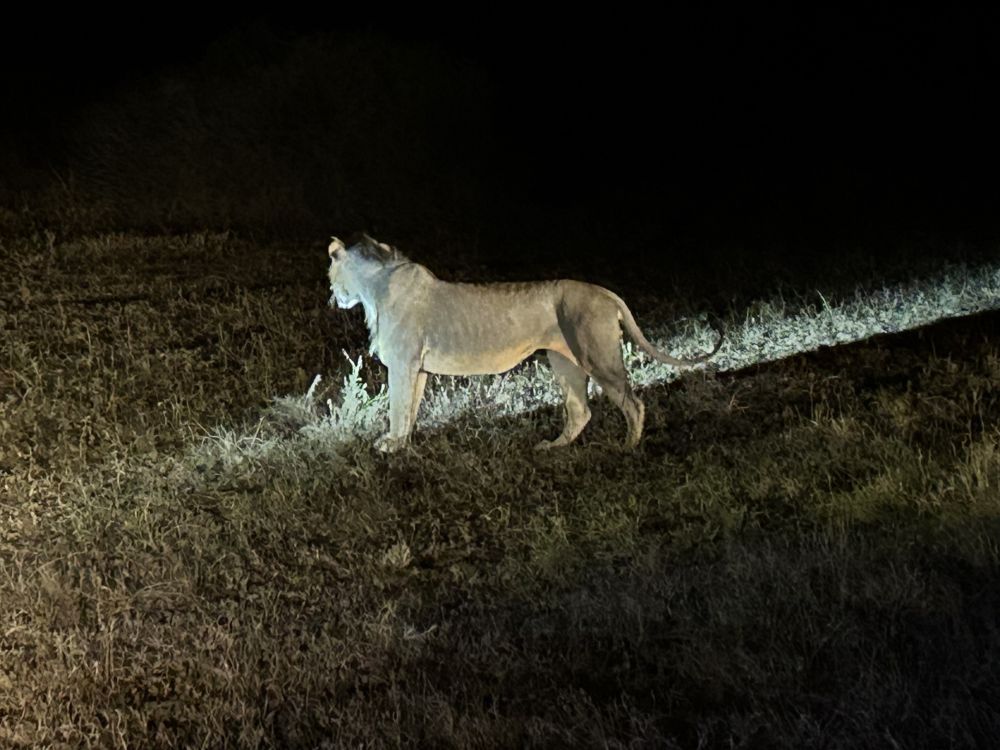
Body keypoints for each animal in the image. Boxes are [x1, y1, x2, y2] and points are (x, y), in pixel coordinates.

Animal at [327, 233, 722, 452]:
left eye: (330, 274)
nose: (333, 299)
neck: (374, 288)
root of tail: (605, 292)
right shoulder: (417, 368)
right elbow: (409, 409)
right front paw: (403, 444)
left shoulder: (403, 362)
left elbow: (397, 406)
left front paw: (390, 446)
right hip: (564, 361)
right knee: (580, 410)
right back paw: (553, 447)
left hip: (597, 354)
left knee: (633, 403)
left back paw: (627, 447)